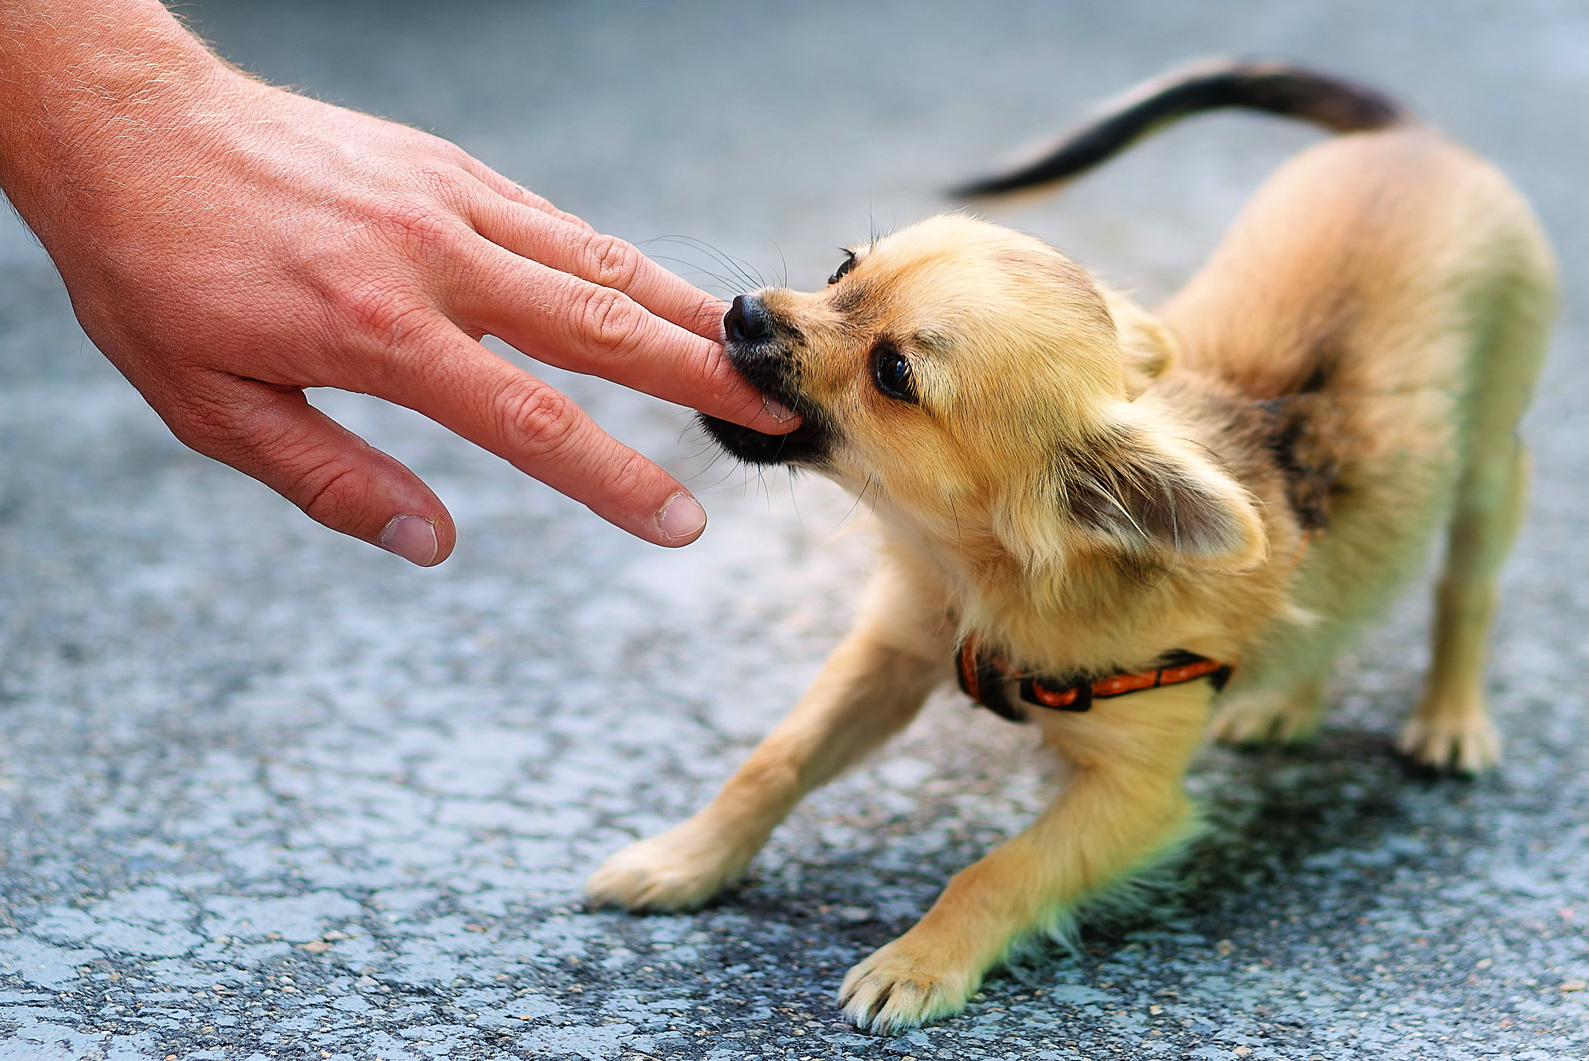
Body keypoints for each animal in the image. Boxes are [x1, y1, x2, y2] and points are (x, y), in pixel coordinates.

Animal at [584, 62, 1550, 1029]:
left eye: (892, 373)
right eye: (840, 269)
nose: (743, 312)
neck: (981, 573)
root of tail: (1413, 141)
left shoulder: (1133, 797)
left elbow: (999, 870)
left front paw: (920, 959)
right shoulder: (891, 651)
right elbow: (771, 761)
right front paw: (683, 858)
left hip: (1489, 471)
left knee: (1465, 593)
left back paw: (1449, 719)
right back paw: (1285, 698)